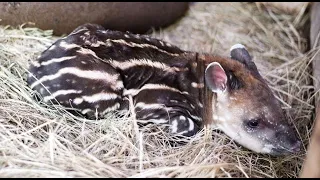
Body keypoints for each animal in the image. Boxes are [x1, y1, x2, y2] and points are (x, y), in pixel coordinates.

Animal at [26, 23, 300, 155]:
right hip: (103, 81)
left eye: (279, 107)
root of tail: (33, 71)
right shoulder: (155, 103)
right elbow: (188, 127)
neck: (201, 89)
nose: (296, 145)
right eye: (252, 122)